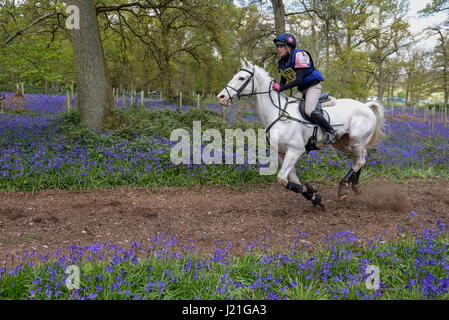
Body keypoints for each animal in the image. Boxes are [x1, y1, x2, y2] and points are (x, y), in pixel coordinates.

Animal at [215, 58, 384, 209]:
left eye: (241, 78)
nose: (221, 97)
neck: (278, 113)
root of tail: (366, 105)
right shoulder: (283, 153)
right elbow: (293, 181)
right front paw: (314, 195)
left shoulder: (295, 150)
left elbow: (282, 179)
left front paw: (313, 193)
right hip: (342, 143)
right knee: (360, 158)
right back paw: (354, 186)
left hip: (356, 141)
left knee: (360, 159)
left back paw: (344, 187)